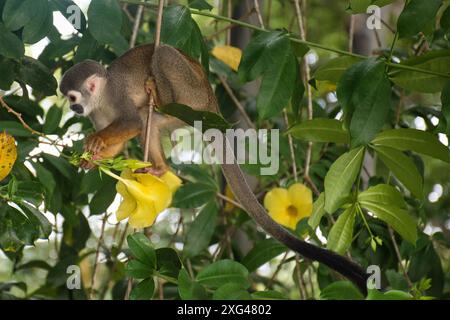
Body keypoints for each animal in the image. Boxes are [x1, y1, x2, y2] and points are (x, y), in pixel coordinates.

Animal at [59, 43, 370, 294]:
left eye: (73, 98)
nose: (74, 110)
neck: (102, 99)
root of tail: (212, 102)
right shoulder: (97, 113)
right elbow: (124, 140)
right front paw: (91, 157)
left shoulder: (117, 95)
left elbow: (132, 122)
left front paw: (95, 142)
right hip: (186, 114)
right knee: (153, 121)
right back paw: (160, 167)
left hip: (190, 96)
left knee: (161, 58)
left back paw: (157, 94)